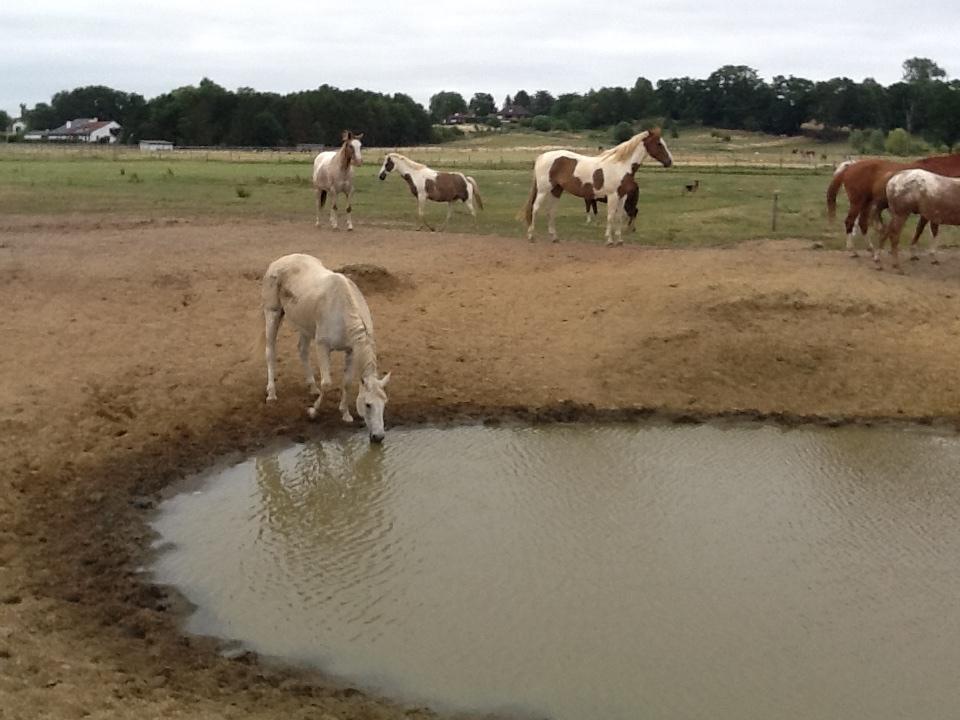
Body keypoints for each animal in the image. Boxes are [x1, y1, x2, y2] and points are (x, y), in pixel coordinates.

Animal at [261, 253, 391, 442]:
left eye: (385, 402)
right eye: (368, 405)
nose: (379, 436)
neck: (343, 311)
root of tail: (279, 261)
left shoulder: (351, 350)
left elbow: (347, 382)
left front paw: (345, 414)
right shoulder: (323, 347)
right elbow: (327, 383)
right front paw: (312, 412)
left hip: (305, 325)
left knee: (302, 350)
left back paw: (312, 387)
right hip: (273, 313)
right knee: (270, 351)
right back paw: (271, 394)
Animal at [522, 129, 673, 246]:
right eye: (659, 143)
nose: (669, 162)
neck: (621, 166)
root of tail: (542, 156)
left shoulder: (622, 196)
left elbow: (619, 217)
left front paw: (620, 240)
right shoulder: (612, 196)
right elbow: (610, 216)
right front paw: (609, 240)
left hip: (556, 190)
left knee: (551, 211)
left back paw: (554, 238)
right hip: (543, 190)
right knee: (535, 209)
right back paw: (531, 236)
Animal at [826, 153, 960, 256]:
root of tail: (850, 166)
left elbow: (926, 229)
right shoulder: (930, 211)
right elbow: (924, 229)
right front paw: (921, 253)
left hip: (866, 204)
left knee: (862, 223)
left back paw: (871, 249)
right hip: (857, 202)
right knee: (850, 222)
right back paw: (853, 251)